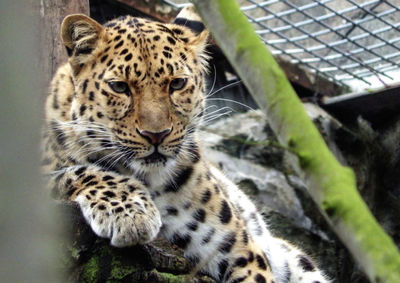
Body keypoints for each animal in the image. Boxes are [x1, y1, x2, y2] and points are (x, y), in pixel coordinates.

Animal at [42, 5, 332, 283]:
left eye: (177, 84)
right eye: (120, 87)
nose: (156, 135)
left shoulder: (241, 253)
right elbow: (79, 171)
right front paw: (132, 215)